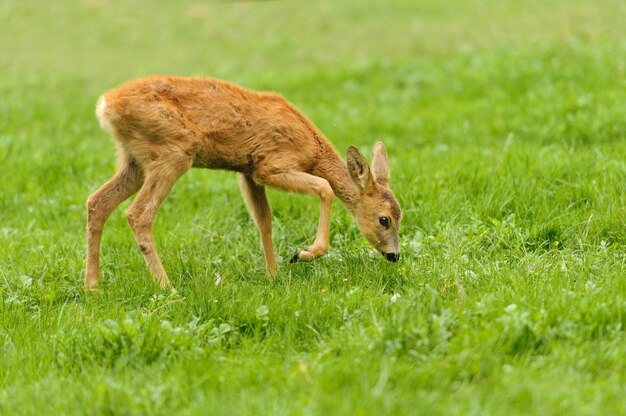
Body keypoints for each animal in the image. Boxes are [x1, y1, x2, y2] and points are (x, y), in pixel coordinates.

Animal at [85, 75, 402, 290]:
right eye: (384, 219)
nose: (394, 256)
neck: (312, 150)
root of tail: (105, 106)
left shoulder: (247, 172)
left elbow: (264, 220)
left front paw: (274, 276)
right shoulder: (270, 166)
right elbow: (325, 188)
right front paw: (302, 254)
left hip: (135, 160)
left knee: (97, 202)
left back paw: (93, 286)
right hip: (172, 152)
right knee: (138, 213)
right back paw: (167, 286)